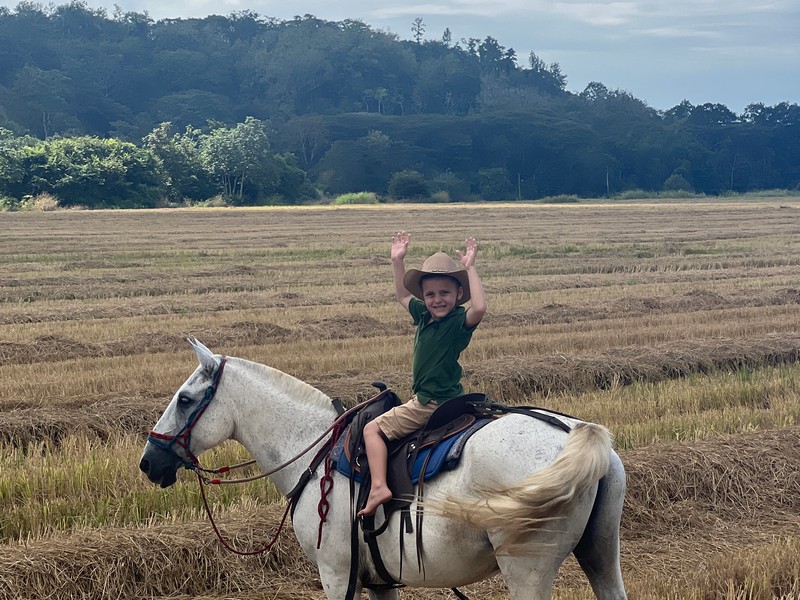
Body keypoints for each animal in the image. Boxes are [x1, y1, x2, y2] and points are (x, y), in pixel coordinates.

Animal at [141, 340, 628, 596]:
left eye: (185, 399)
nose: (149, 462)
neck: (312, 452)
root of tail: (581, 435)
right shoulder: (379, 580)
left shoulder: (337, 574)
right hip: (601, 555)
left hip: (527, 571)